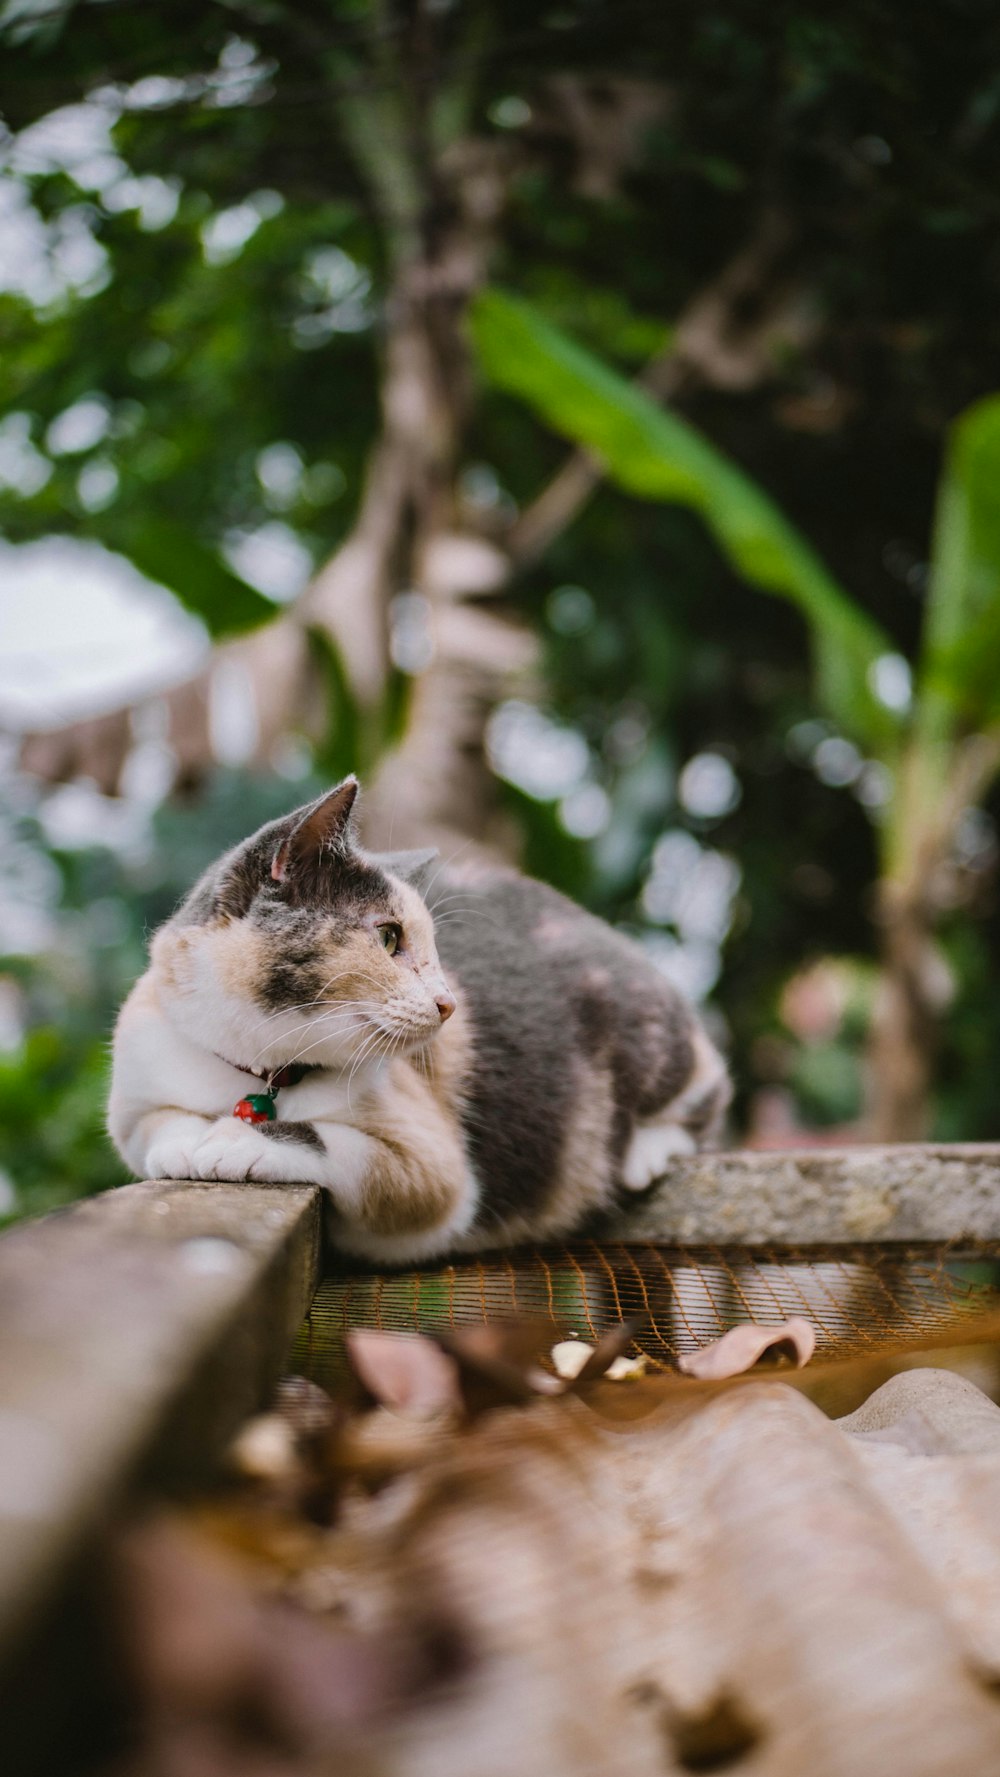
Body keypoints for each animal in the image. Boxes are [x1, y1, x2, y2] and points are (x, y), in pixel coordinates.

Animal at [109, 778, 731, 1265]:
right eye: (388, 938)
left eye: (435, 948)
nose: (448, 1001)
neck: (261, 1070)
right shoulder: (139, 1087)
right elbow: (157, 1129)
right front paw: (186, 1146)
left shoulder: (437, 1169)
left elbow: (335, 1143)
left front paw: (236, 1142)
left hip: (647, 1028)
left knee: (709, 1085)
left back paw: (646, 1151)